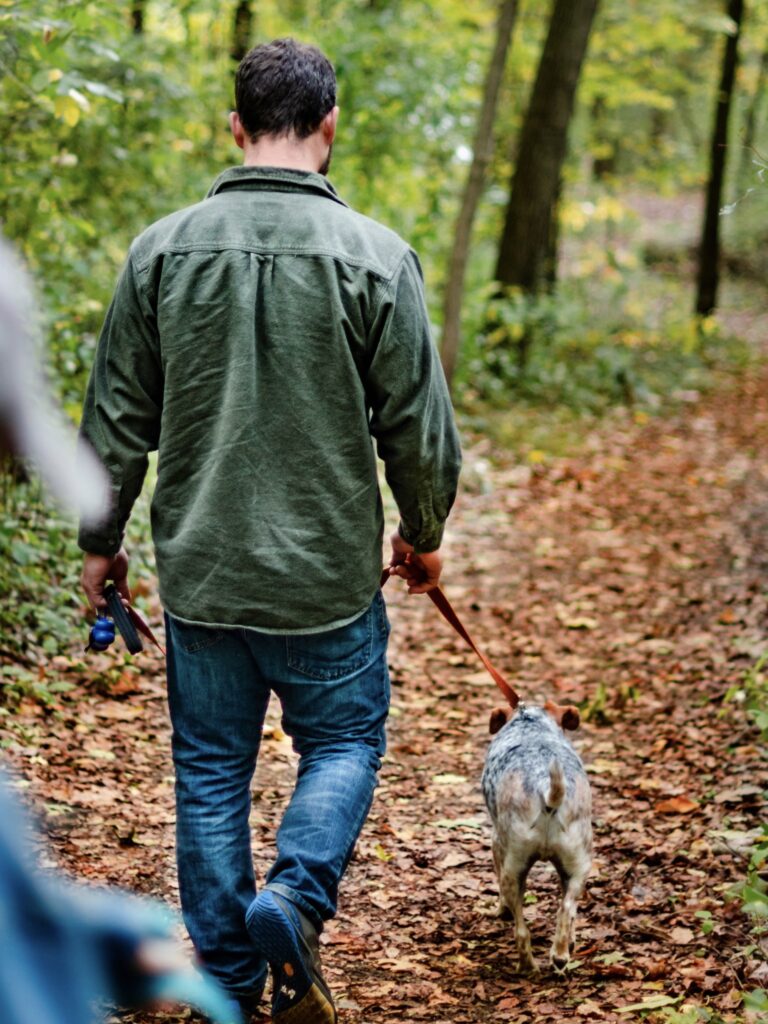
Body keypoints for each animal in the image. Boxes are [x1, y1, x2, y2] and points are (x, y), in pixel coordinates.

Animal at [481, 700, 593, 970]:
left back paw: (527, 965)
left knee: (521, 930)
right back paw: (560, 955)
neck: (530, 721)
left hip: (511, 868)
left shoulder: (495, 845)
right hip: (579, 867)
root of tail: (546, 791)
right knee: (565, 910)